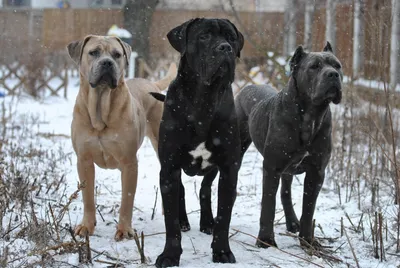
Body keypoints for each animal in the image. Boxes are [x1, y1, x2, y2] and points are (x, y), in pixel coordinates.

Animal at [155, 17, 244, 266]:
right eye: (204, 36)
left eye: (231, 37)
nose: (225, 48)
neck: (204, 99)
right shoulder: (169, 167)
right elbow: (170, 221)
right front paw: (170, 255)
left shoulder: (229, 169)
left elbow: (224, 216)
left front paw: (222, 251)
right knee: (182, 191)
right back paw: (184, 221)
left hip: (212, 169)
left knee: (204, 189)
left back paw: (206, 222)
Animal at [234, 42, 344, 249]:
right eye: (314, 67)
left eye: (338, 66)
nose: (333, 74)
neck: (310, 115)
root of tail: (247, 87)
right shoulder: (272, 168)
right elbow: (268, 205)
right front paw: (266, 241)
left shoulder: (317, 172)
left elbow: (309, 208)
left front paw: (307, 240)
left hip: (289, 170)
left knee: (286, 193)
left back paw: (293, 223)